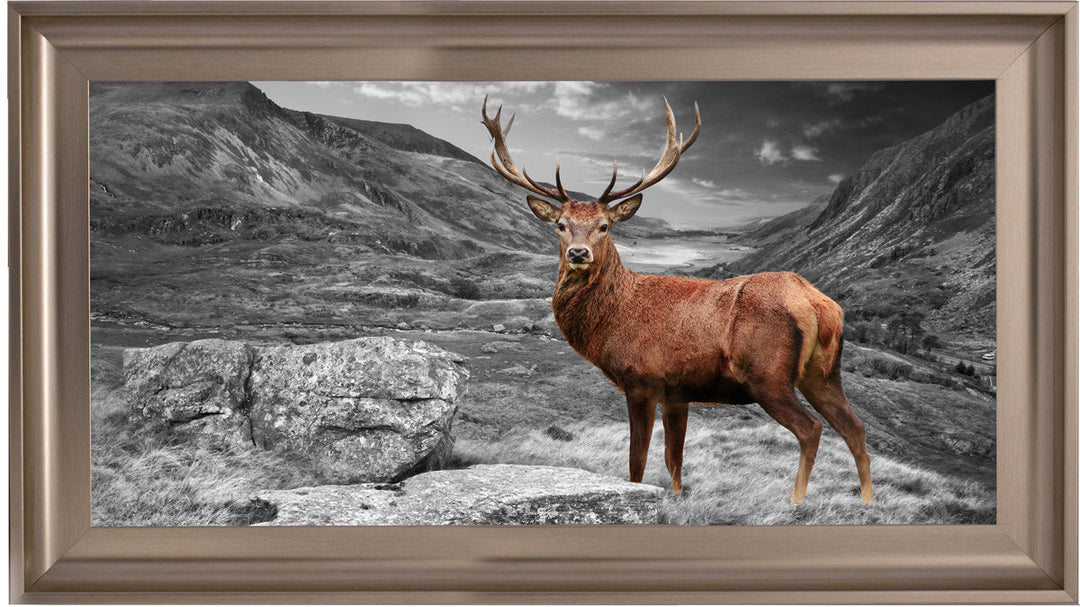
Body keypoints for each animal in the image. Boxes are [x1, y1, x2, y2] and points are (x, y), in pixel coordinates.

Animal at [480, 96, 874, 504]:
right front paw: (678, 498)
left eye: (605, 226)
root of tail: (820, 305)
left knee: (811, 429)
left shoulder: (642, 379)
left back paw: (796, 501)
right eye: (560, 225)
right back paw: (867, 500)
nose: (578, 253)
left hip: (768, 374)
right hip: (823, 373)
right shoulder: (678, 393)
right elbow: (674, 460)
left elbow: (637, 462)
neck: (613, 320)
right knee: (855, 427)